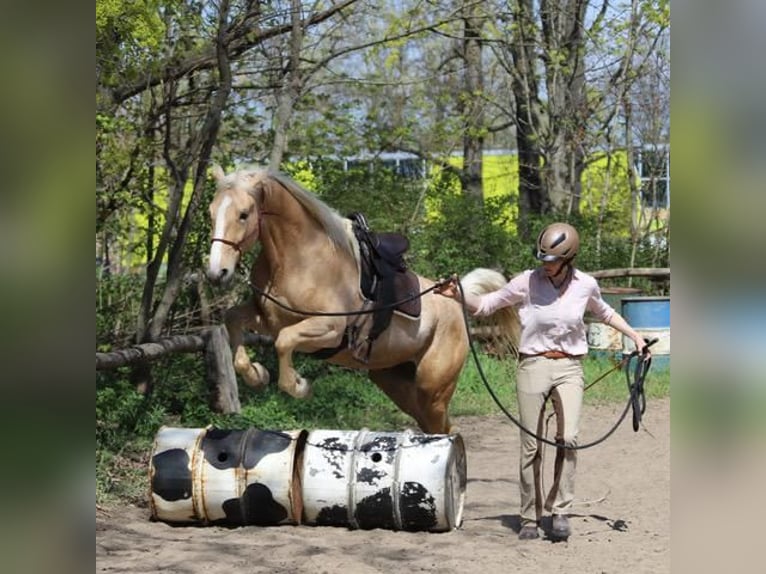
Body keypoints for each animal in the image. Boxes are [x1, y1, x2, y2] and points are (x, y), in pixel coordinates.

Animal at [207, 166, 520, 436]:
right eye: (211, 212)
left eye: (244, 214)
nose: (216, 273)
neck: (298, 260)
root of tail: (455, 300)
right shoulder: (268, 317)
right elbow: (233, 321)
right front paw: (256, 375)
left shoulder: (327, 330)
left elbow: (284, 342)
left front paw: (299, 386)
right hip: (396, 382)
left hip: (433, 388)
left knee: (444, 429)